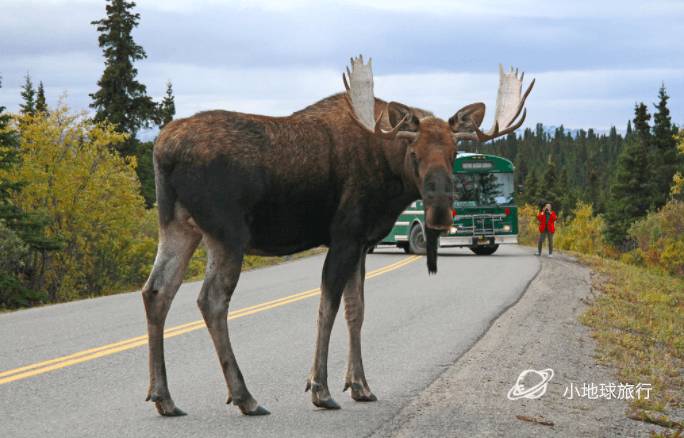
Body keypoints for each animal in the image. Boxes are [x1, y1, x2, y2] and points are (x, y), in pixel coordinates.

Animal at [140, 56, 536, 416]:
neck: (389, 176)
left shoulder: (362, 243)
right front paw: (321, 388)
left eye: (454, 152)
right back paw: (244, 396)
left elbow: (356, 310)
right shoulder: (345, 236)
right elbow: (327, 307)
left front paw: (360, 385)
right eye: (414, 151)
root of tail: (162, 150)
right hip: (227, 233)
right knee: (211, 300)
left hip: (178, 227)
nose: (439, 212)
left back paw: (164, 397)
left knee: (156, 291)